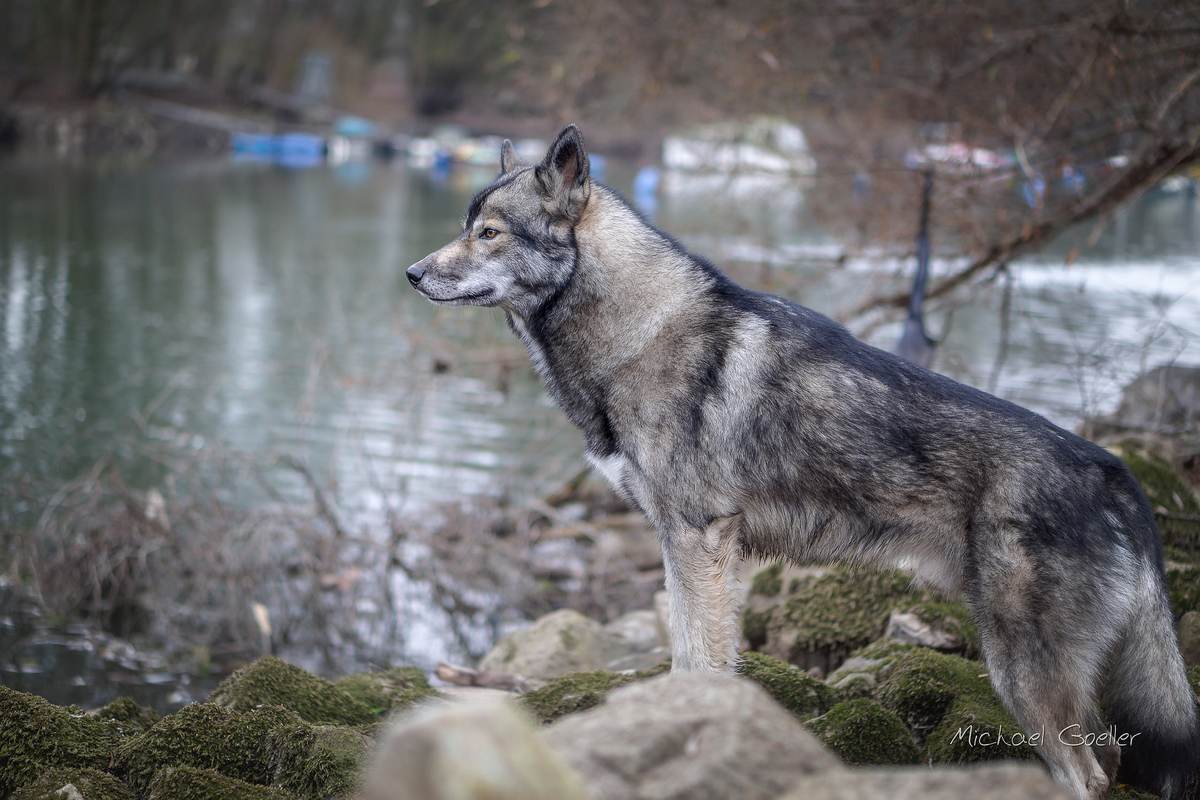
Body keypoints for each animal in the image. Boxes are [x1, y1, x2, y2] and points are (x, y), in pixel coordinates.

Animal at [406, 125, 1200, 800]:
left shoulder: (696, 540)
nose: (412, 274)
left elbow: (697, 659)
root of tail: (1115, 470)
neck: (638, 330)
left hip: (1024, 674)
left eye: (488, 232)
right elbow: (690, 655)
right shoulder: (688, 547)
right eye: (464, 226)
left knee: (1089, 776)